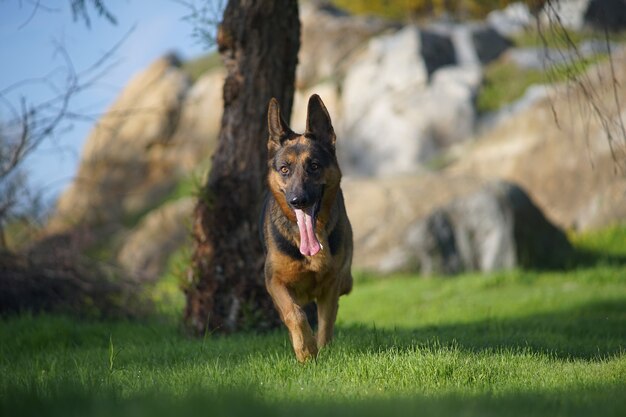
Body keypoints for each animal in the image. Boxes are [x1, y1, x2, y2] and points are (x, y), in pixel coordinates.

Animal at [260, 94, 352, 360]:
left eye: (314, 166)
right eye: (284, 169)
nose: (298, 200)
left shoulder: (331, 285)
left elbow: (326, 323)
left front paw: (321, 349)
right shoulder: (274, 280)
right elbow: (295, 313)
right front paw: (306, 350)